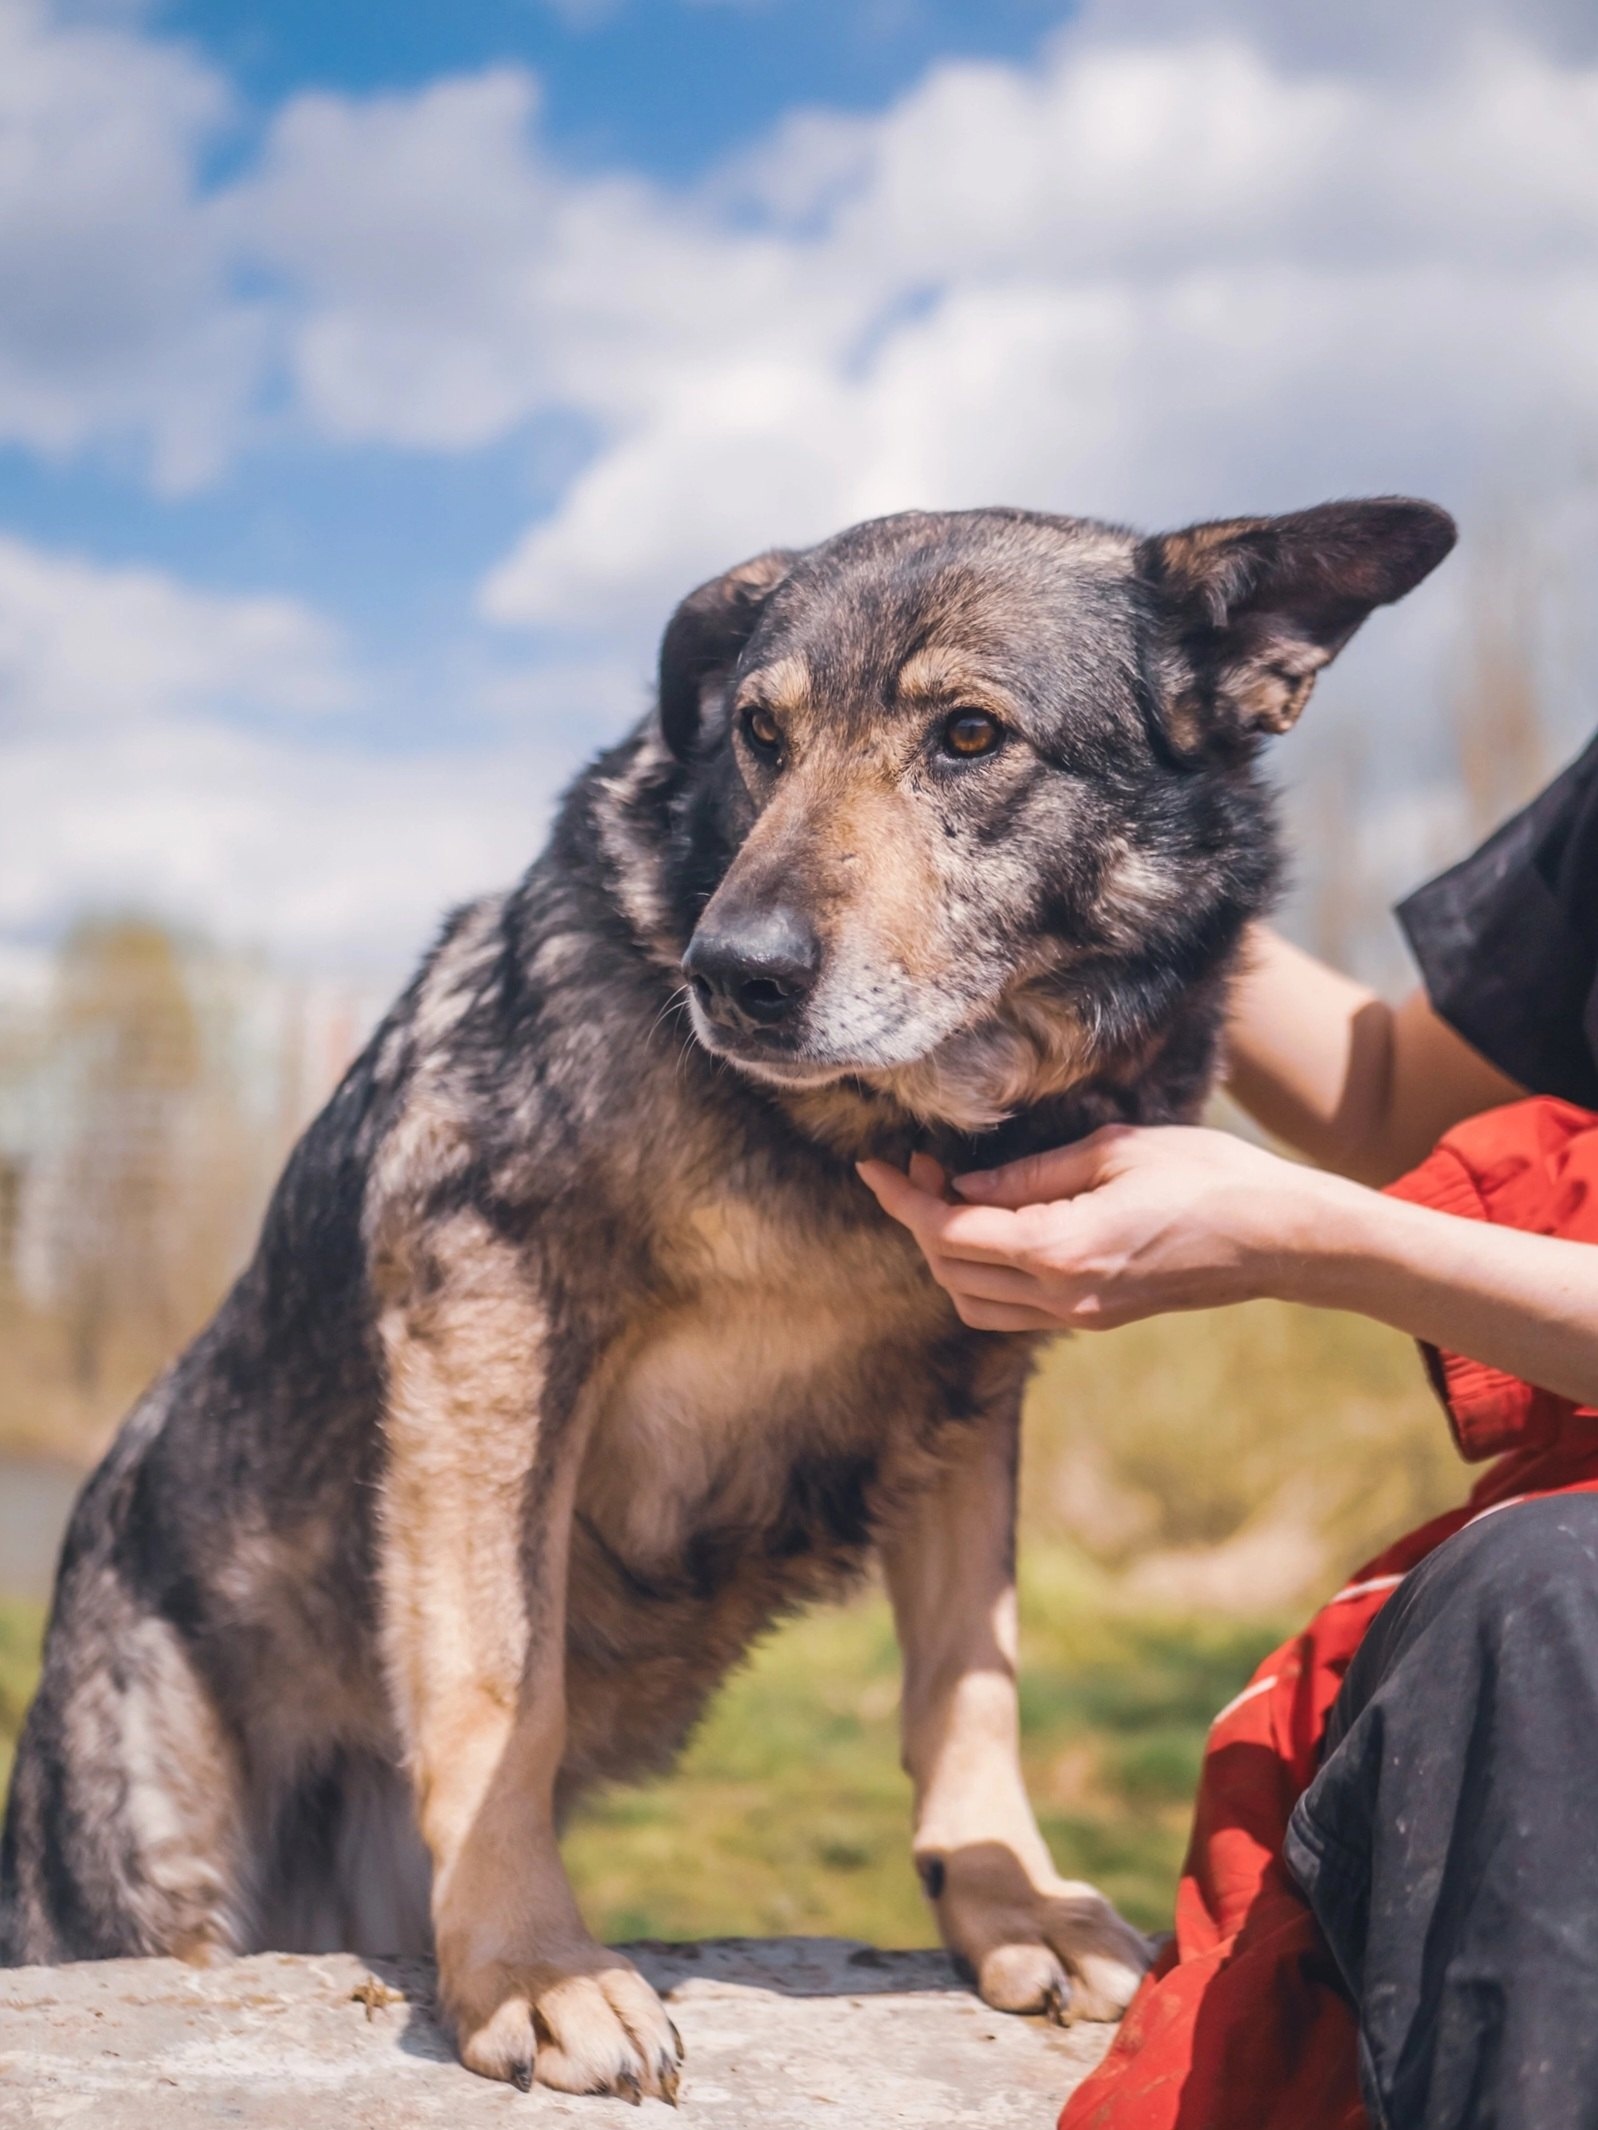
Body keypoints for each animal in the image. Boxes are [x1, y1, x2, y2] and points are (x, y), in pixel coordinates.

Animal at [0, 494, 1448, 2095]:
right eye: (759, 734)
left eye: (967, 735)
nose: (731, 973)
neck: (872, 1132)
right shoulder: (488, 1308)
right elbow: (501, 1683)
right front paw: (530, 1962)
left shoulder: (970, 1385)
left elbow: (969, 1681)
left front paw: (1004, 1894)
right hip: (148, 1874)